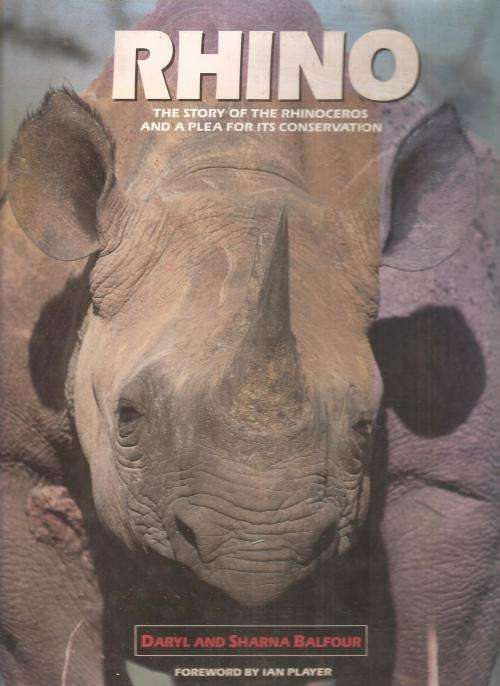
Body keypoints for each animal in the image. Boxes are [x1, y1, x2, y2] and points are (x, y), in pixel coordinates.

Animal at [0, 1, 498, 685]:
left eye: (366, 426)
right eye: (127, 417)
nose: (255, 550)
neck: (233, 159)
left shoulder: (454, 485)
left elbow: (433, 643)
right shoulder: (16, 455)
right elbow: (54, 647)